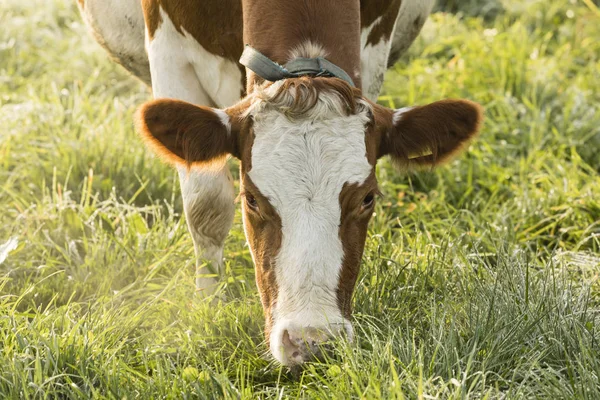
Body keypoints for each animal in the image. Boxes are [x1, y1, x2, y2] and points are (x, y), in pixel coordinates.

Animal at [78, 0, 482, 366]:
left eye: (368, 198)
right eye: (251, 199)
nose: (311, 341)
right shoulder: (170, 46)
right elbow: (205, 202)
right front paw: (209, 305)